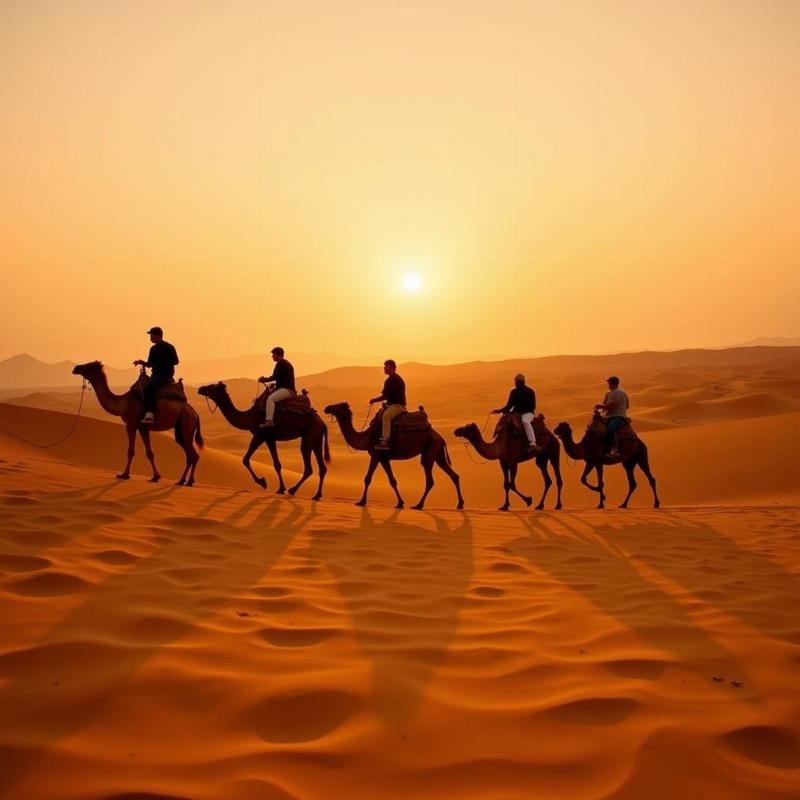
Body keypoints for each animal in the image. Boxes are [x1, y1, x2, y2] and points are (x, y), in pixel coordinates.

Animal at [71, 364, 203, 488]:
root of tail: (195, 414)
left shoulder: (131, 424)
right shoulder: (143, 428)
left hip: (187, 424)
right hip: (181, 430)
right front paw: (155, 477)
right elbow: (149, 453)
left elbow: (130, 451)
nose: (76, 368)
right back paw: (182, 481)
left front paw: (124, 474)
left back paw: (188, 481)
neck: (121, 403)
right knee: (190, 455)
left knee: (193, 455)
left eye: (90, 366)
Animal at [198, 382, 330, 500]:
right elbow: (276, 464)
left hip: (309, 436)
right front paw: (279, 487)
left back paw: (293, 490)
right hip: (316, 439)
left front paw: (265, 483)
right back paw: (317, 495)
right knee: (322, 467)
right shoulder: (269, 438)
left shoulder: (261, 436)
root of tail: (322, 423)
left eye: (213, 387)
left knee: (308, 467)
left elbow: (247, 459)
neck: (249, 417)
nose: (200, 388)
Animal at [324, 404, 466, 510]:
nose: (326, 408)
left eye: (337, 406)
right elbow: (392, 480)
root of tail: (440, 437)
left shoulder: (376, 455)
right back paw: (460, 504)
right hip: (438, 453)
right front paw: (400, 503)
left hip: (430, 451)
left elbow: (368, 479)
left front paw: (361, 502)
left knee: (430, 479)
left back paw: (418, 505)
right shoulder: (384, 458)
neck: (366, 437)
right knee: (454, 475)